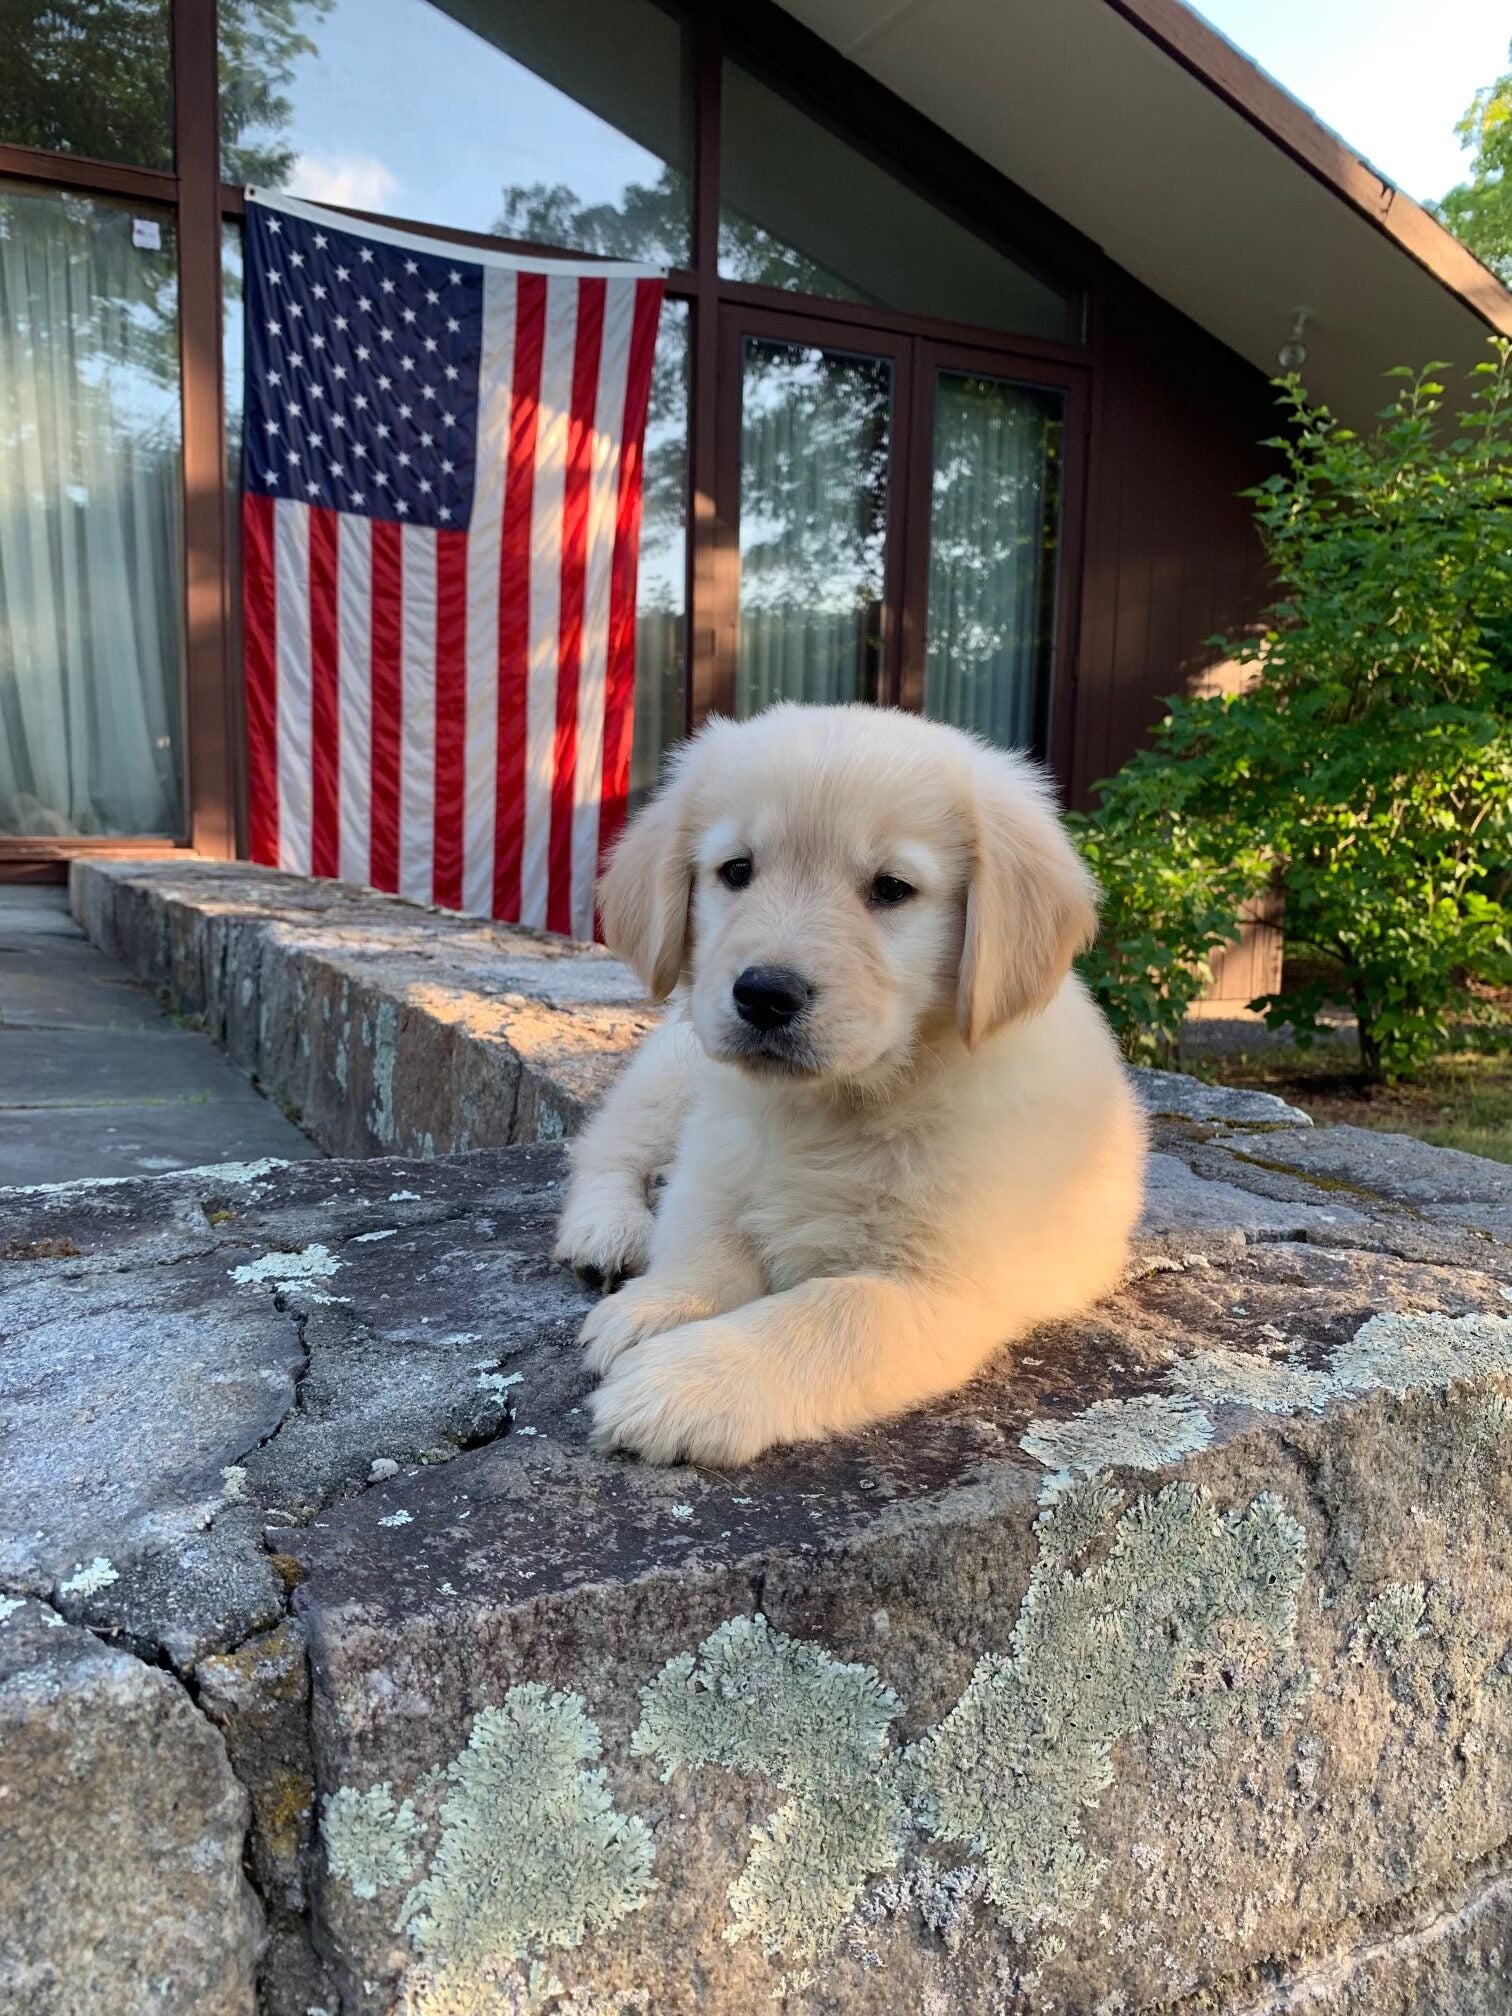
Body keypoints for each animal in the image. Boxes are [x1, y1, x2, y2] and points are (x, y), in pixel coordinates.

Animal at [556, 705, 1145, 1467]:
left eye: (891, 889)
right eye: (736, 871)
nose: (764, 994)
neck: (834, 1105)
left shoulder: (937, 1283)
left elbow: (827, 1316)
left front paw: (683, 1382)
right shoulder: (716, 1157)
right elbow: (704, 1242)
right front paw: (657, 1306)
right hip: (671, 1070)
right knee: (607, 1148)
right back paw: (609, 1230)